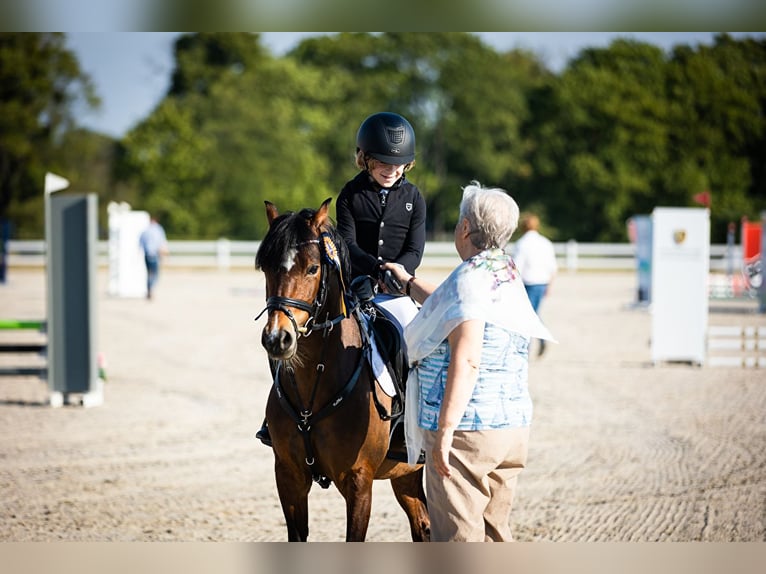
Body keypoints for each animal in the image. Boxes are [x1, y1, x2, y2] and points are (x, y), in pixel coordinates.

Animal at [255, 199, 428, 544]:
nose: (278, 338)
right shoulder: (289, 477)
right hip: (406, 474)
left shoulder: (358, 481)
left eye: (312, 268)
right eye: (266, 268)